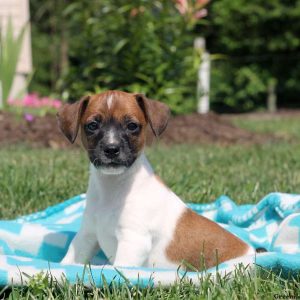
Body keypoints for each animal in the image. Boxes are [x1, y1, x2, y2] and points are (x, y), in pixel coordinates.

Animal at [57, 91, 254, 270]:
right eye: (92, 125)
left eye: (132, 126)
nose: (111, 149)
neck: (113, 186)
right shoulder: (87, 235)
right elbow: (69, 259)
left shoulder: (133, 241)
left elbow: (118, 270)